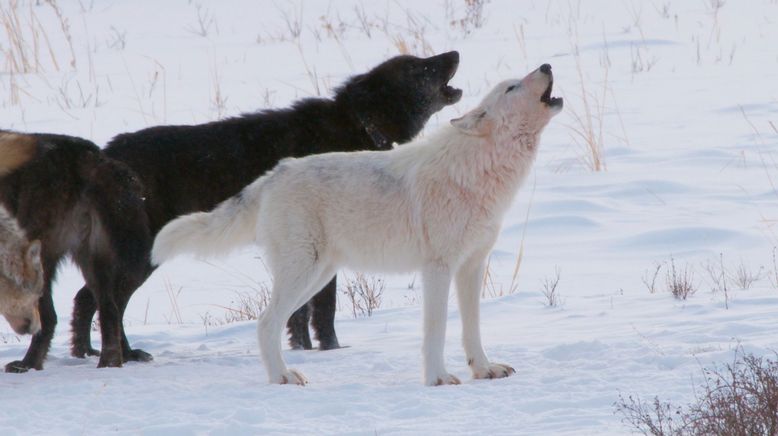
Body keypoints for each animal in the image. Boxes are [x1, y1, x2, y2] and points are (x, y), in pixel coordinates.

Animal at [0, 132, 150, 372]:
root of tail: (89, 154)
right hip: (92, 258)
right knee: (109, 309)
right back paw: (108, 364)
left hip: (45, 256)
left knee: (49, 317)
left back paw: (27, 364)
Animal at [68, 52, 460, 358]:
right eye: (417, 68)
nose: (454, 53)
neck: (360, 125)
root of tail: (103, 155)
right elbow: (325, 310)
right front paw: (331, 350)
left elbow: (299, 315)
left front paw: (301, 349)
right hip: (141, 257)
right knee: (108, 302)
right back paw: (125, 354)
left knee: (88, 298)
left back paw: (85, 351)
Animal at [152, 64, 560, 384]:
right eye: (512, 87)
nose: (546, 65)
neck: (476, 172)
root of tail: (272, 175)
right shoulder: (438, 269)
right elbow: (437, 330)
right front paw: (438, 378)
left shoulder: (472, 267)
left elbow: (472, 328)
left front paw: (484, 370)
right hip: (304, 272)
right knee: (266, 323)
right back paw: (282, 377)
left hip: (318, 275)